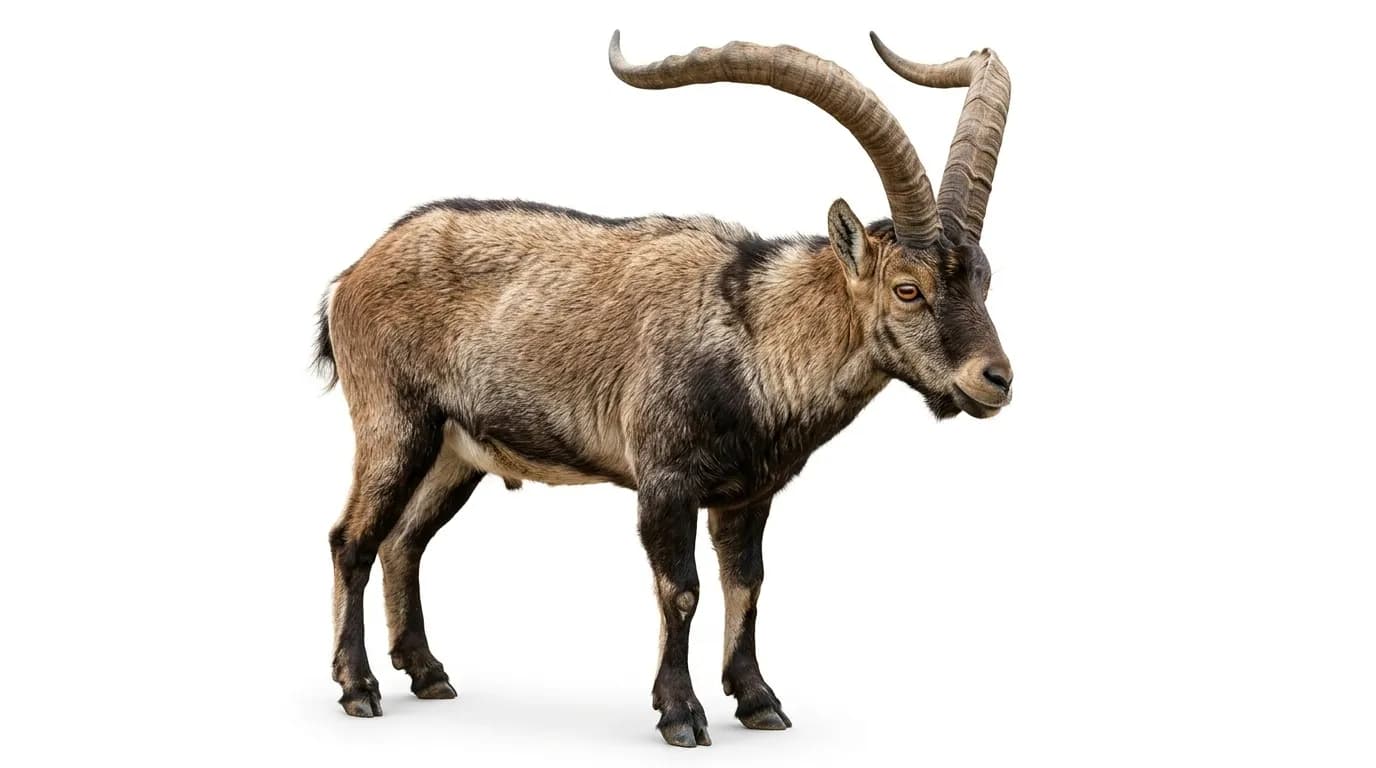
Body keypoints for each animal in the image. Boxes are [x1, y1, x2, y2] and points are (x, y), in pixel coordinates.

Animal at [315, 32, 1014, 748]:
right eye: (908, 288)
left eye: (984, 279)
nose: (996, 379)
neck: (754, 332)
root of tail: (350, 276)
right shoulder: (664, 481)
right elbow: (682, 590)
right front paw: (681, 712)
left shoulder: (748, 494)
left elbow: (747, 585)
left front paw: (758, 700)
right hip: (394, 424)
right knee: (352, 539)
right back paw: (359, 687)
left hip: (455, 453)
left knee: (405, 541)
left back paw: (427, 672)